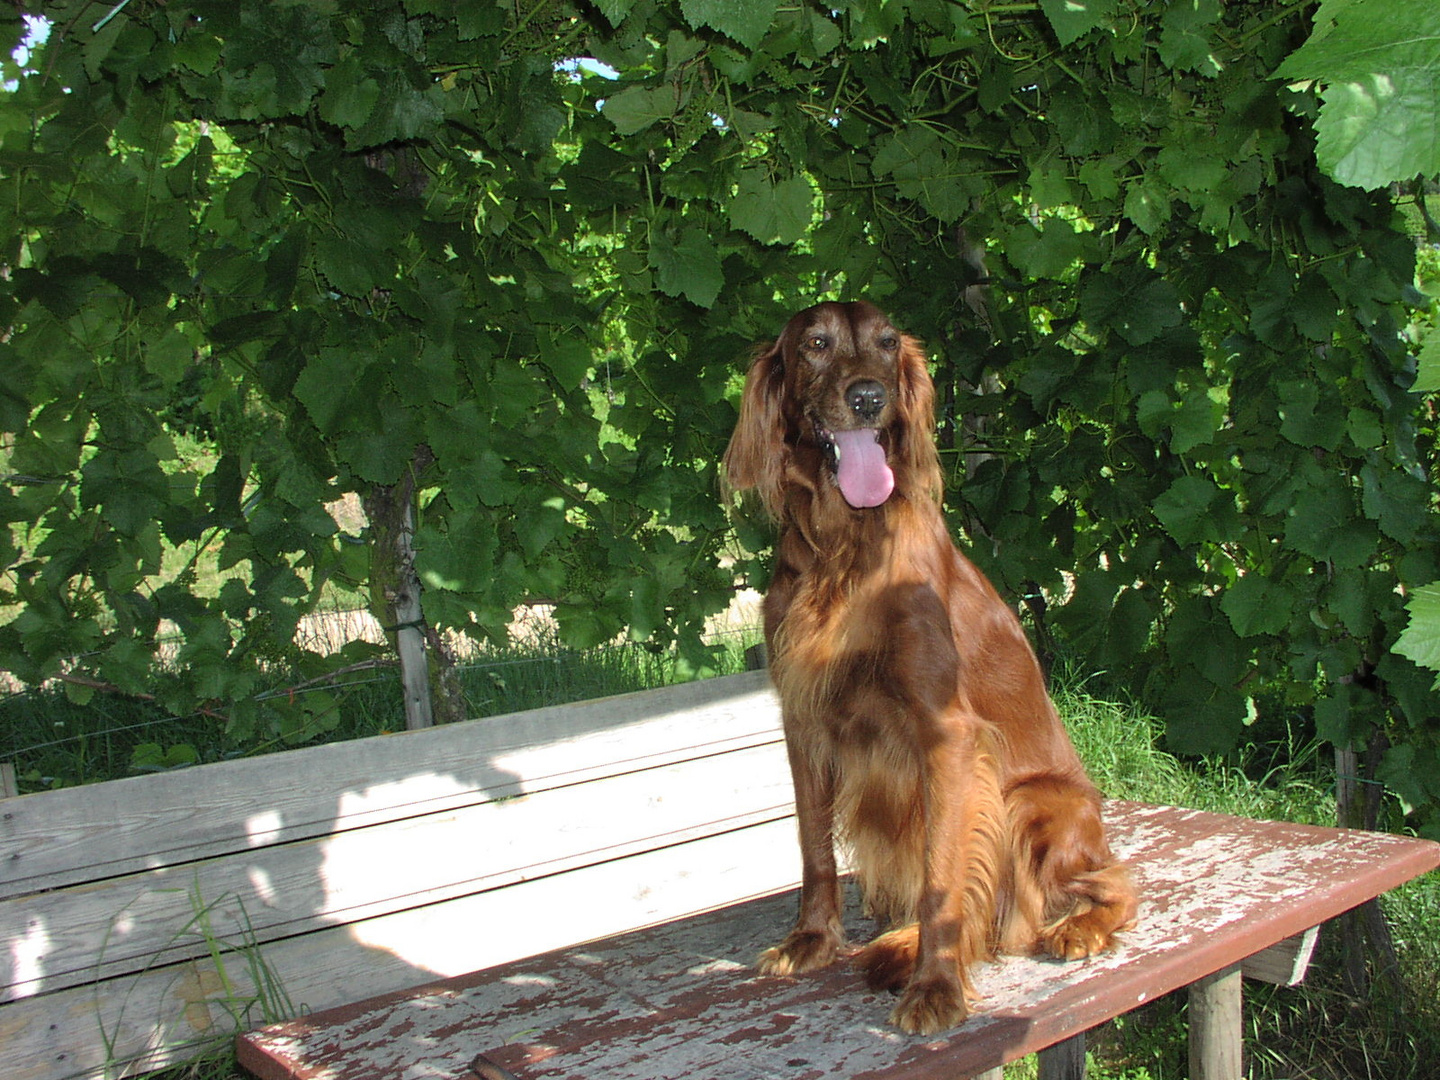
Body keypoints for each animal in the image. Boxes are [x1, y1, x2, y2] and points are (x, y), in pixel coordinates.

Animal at [720, 302, 1134, 1042]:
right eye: (817, 344)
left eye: (888, 344)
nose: (868, 397)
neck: (846, 547)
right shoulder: (805, 723)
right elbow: (815, 852)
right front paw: (812, 941)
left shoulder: (948, 736)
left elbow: (944, 879)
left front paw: (937, 988)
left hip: (1030, 804)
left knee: (1106, 885)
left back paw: (1073, 929)